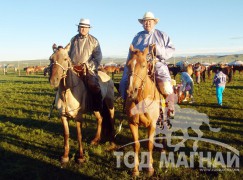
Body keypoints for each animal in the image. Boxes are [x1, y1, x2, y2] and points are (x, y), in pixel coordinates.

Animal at [125, 44, 163, 176]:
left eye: (143, 65)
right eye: (127, 65)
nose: (131, 92)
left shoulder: (152, 124)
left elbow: (149, 144)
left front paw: (150, 168)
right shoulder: (132, 124)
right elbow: (136, 145)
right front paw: (135, 170)